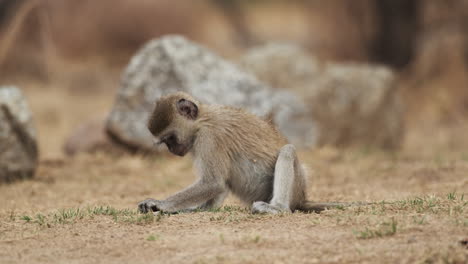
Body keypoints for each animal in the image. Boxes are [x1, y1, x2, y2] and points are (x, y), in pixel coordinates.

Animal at [139, 92, 340, 213]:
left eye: (170, 139)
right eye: (166, 142)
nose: (172, 150)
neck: (202, 121)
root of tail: (301, 199)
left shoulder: (210, 138)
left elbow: (213, 182)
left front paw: (159, 204)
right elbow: (220, 184)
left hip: (295, 188)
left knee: (287, 150)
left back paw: (277, 208)